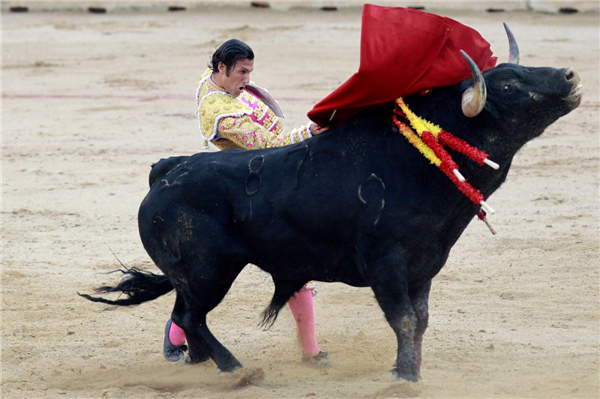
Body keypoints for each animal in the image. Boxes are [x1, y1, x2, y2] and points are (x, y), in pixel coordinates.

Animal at [81, 26, 580, 382]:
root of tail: (168, 170)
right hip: (208, 270)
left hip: (201, 273)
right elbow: (402, 319)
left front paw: (406, 368)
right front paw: (406, 378)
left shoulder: (424, 265)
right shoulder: (385, 263)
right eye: (510, 85)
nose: (570, 75)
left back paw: (202, 363)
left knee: (185, 313)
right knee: (192, 315)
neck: (417, 159)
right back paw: (234, 369)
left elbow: (419, 321)